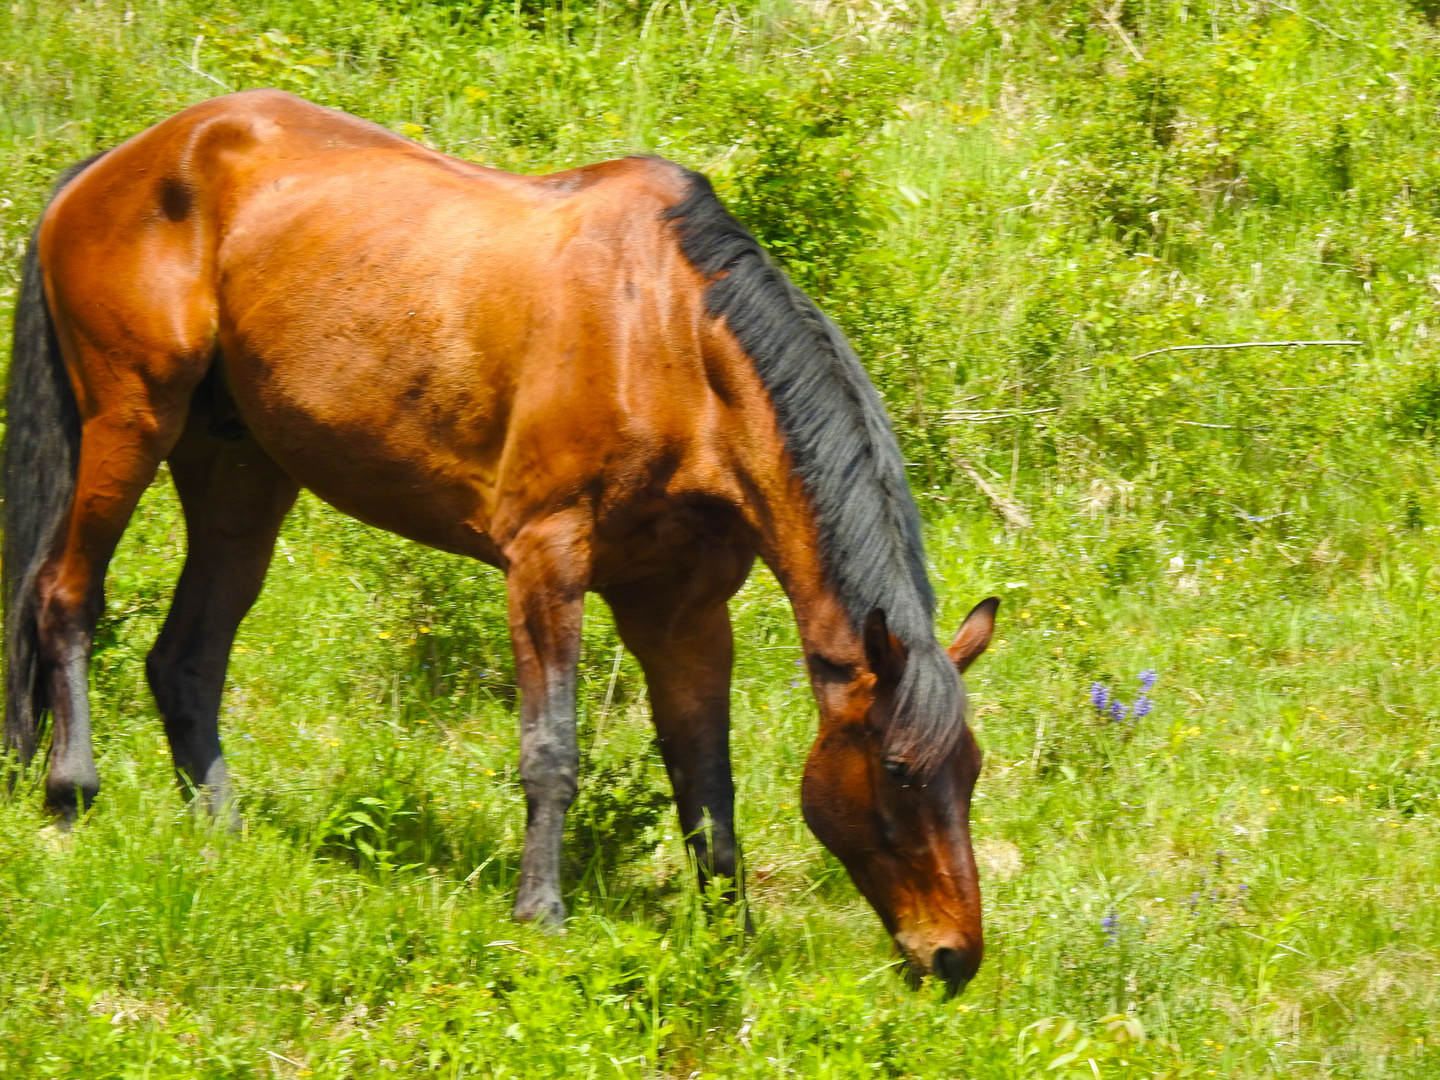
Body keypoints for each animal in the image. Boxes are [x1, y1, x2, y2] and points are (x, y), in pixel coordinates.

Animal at [8, 92, 1002, 996]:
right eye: (900, 771)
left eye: (972, 771)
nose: (953, 958)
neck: (669, 341)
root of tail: (112, 165)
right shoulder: (545, 562)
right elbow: (552, 751)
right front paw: (542, 915)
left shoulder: (681, 610)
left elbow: (705, 777)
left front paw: (730, 938)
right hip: (132, 421)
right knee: (64, 595)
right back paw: (70, 792)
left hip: (242, 471)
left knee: (185, 656)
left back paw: (223, 828)